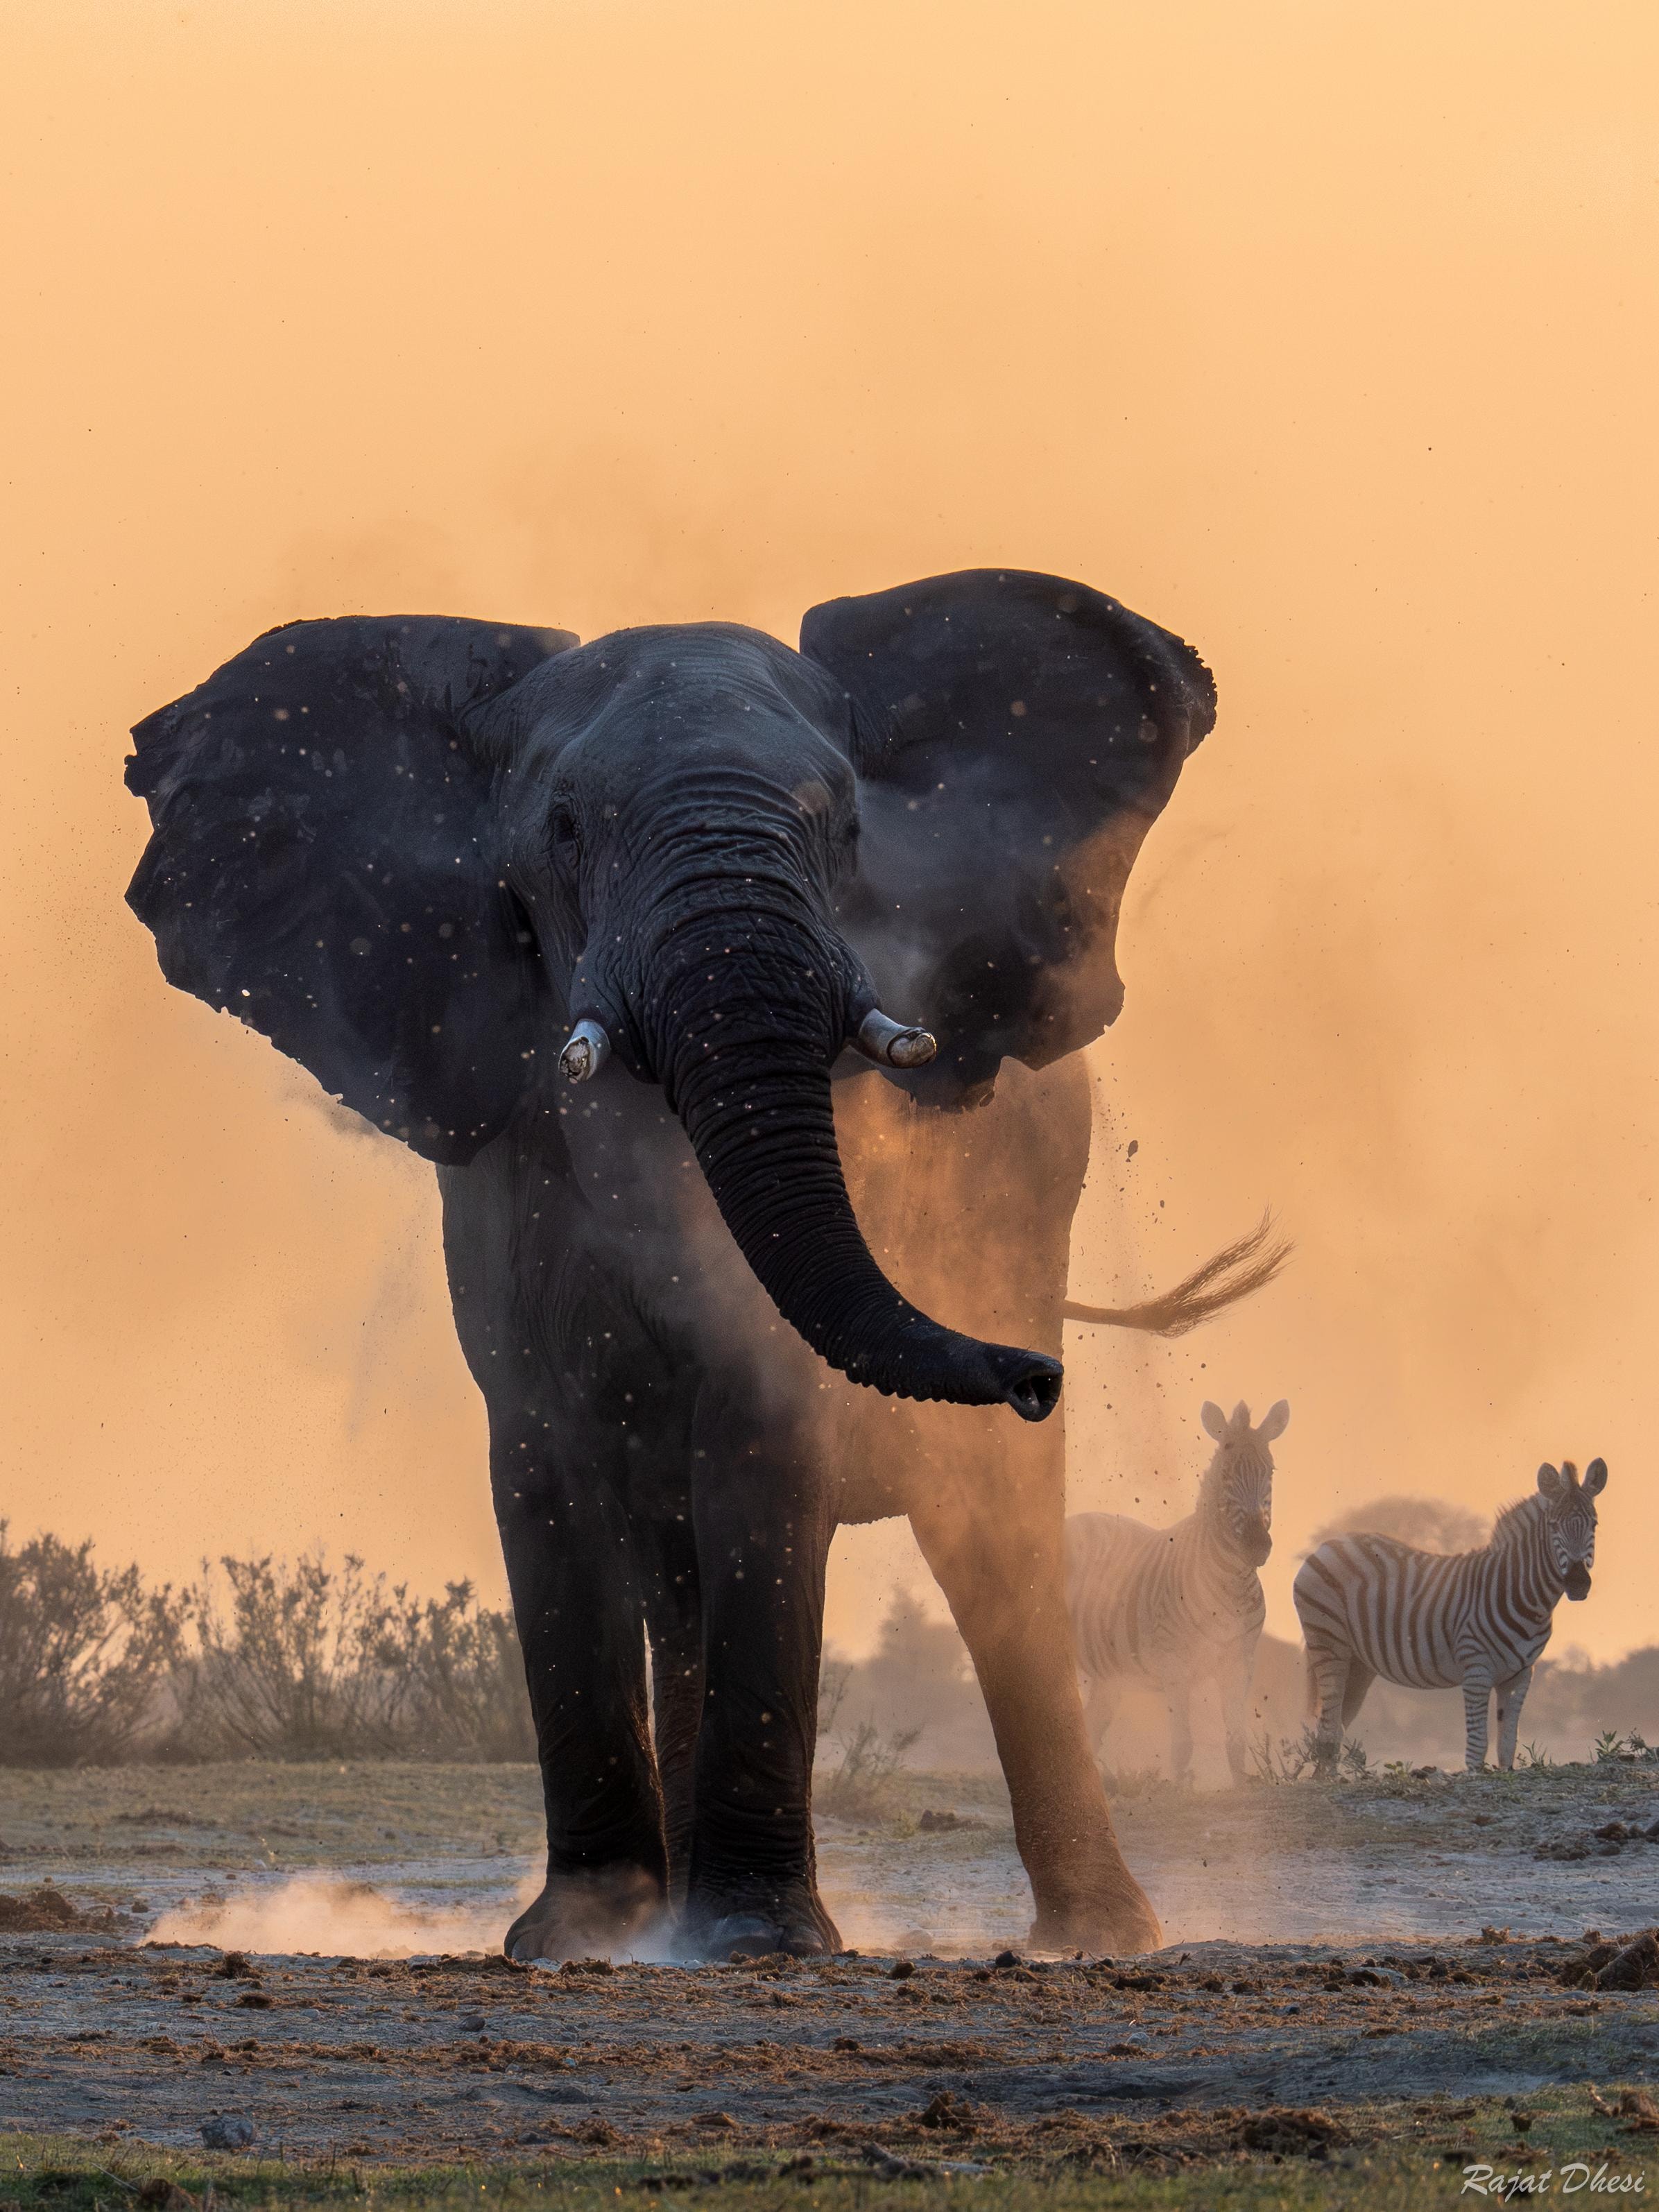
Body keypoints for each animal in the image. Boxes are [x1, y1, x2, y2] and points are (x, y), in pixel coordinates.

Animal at [1065, 1399, 1289, 1785]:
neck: (1230, 1583)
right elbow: (1183, 1745)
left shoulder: (1239, 1661)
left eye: (1270, 1472)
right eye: (1225, 1474)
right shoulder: (1175, 1666)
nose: (1257, 1548)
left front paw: (1242, 1785)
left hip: (1109, 1676)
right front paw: (1182, 1788)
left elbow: (1236, 1741)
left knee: (1093, 1729)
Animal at [1293, 1457, 1607, 1772]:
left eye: (1594, 1524)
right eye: (1554, 1526)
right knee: (1329, 1727)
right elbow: (1477, 1746)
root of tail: (1329, 1543)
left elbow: (1508, 1745)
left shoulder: (1520, 1675)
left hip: (1359, 1662)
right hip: (1329, 1643)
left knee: (1336, 1725)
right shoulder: (1477, 1669)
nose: (1578, 1583)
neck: (1524, 1596)